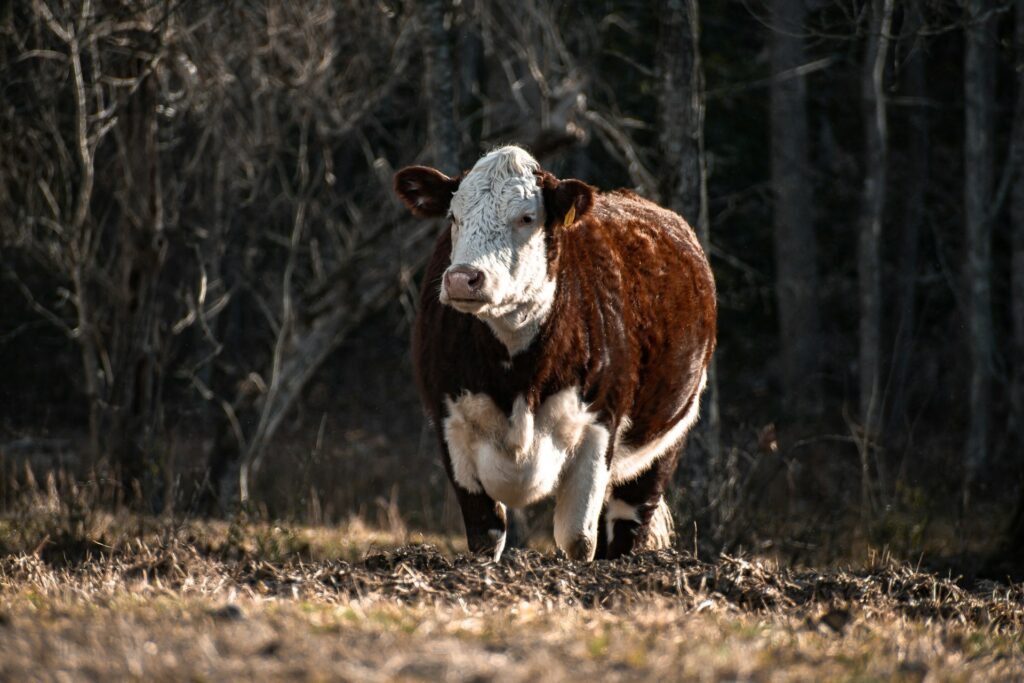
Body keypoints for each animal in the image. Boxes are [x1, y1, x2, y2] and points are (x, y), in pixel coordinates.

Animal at [394, 145, 716, 561]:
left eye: (527, 217)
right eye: (453, 216)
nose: (463, 278)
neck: (516, 377)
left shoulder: (600, 423)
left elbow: (578, 539)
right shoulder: (449, 421)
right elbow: (485, 533)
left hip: (670, 433)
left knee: (628, 523)